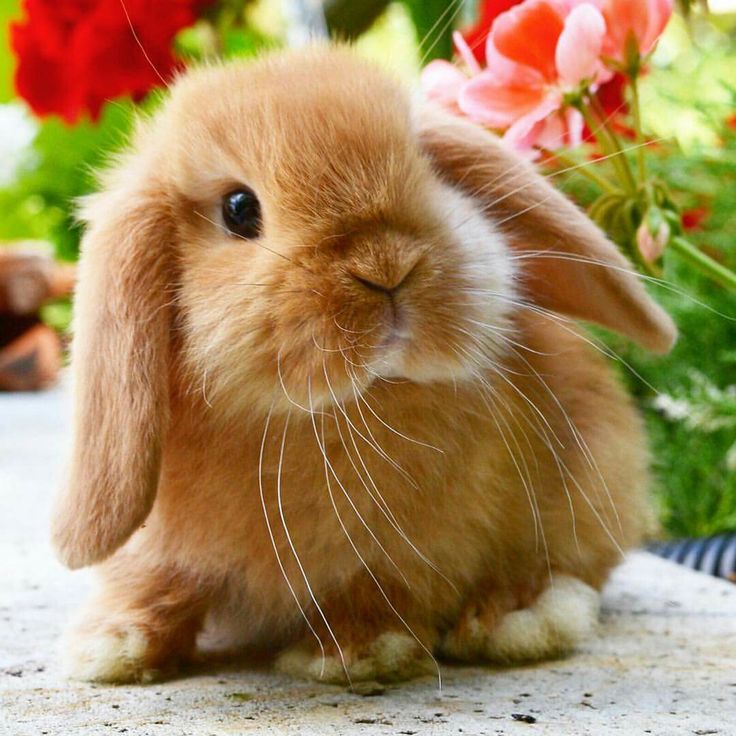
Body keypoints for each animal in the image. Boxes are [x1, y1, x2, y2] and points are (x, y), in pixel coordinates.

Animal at [50, 47, 672, 688]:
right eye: (239, 209)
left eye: (429, 167)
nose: (387, 265)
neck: (330, 414)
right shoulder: (159, 549)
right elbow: (153, 583)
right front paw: (109, 646)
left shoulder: (409, 555)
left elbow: (379, 594)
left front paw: (358, 651)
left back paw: (514, 620)